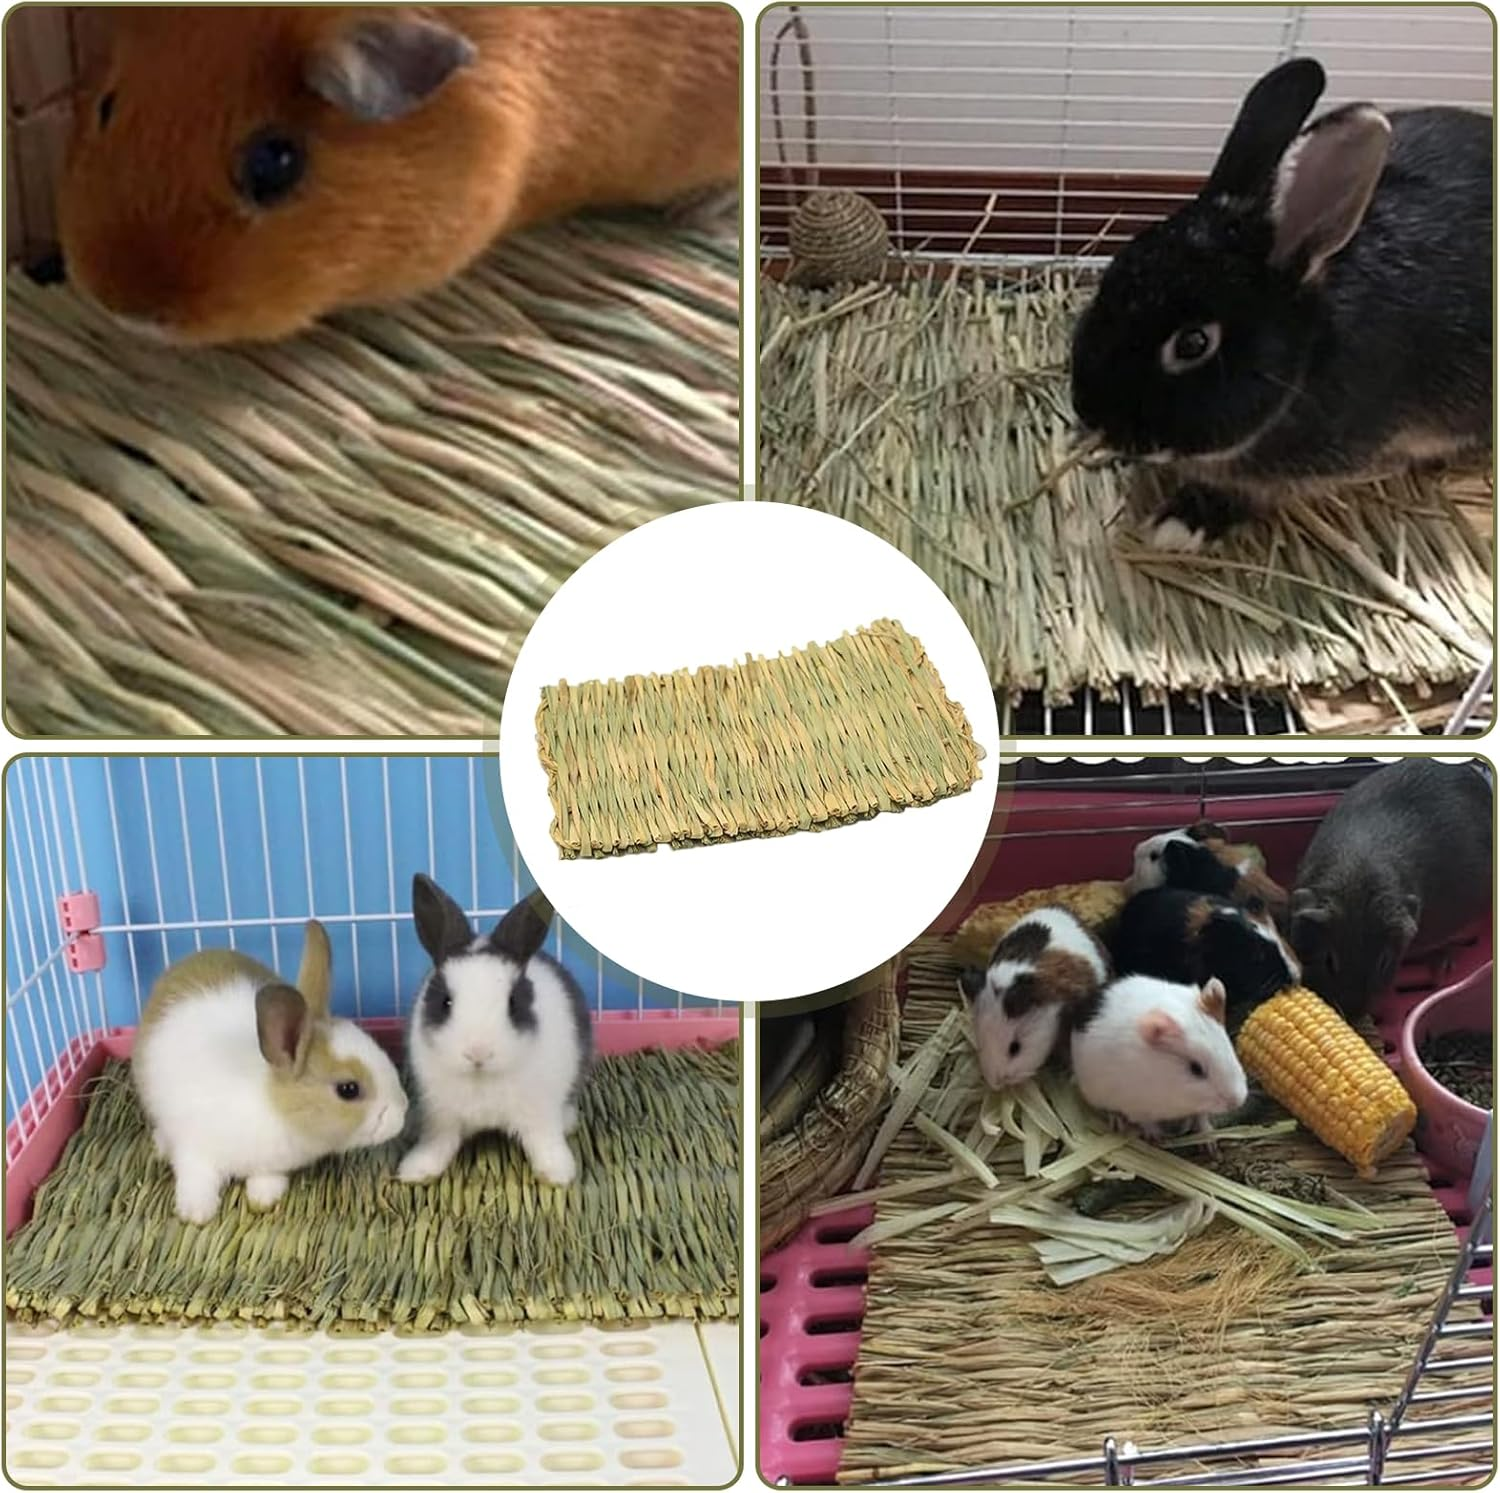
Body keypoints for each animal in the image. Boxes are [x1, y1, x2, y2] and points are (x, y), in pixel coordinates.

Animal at [132, 919, 408, 1225]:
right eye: (348, 1089)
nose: (403, 1111)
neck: (273, 1104)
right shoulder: (195, 1150)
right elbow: (196, 1177)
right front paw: (196, 1212)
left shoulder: (270, 1163)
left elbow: (267, 1177)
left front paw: (264, 1196)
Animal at [399, 874, 593, 1187]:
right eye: (445, 1002)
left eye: (513, 1002)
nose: (478, 1052)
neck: (483, 1079)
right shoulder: (440, 1114)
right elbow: (436, 1142)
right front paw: (416, 1171)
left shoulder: (541, 1109)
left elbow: (544, 1141)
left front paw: (557, 1174)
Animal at [1070, 57, 1492, 550]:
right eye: (1114, 270)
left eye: (1193, 343)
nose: (1089, 411)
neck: (1308, 354)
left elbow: (1255, 493)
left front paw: (1184, 523)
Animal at [1070, 973, 1249, 1136]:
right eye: (1196, 1069)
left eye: (1229, 1048)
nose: (1236, 1102)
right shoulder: (1134, 1107)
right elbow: (1146, 1122)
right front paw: (1158, 1137)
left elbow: (1201, 1117)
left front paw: (1209, 1139)